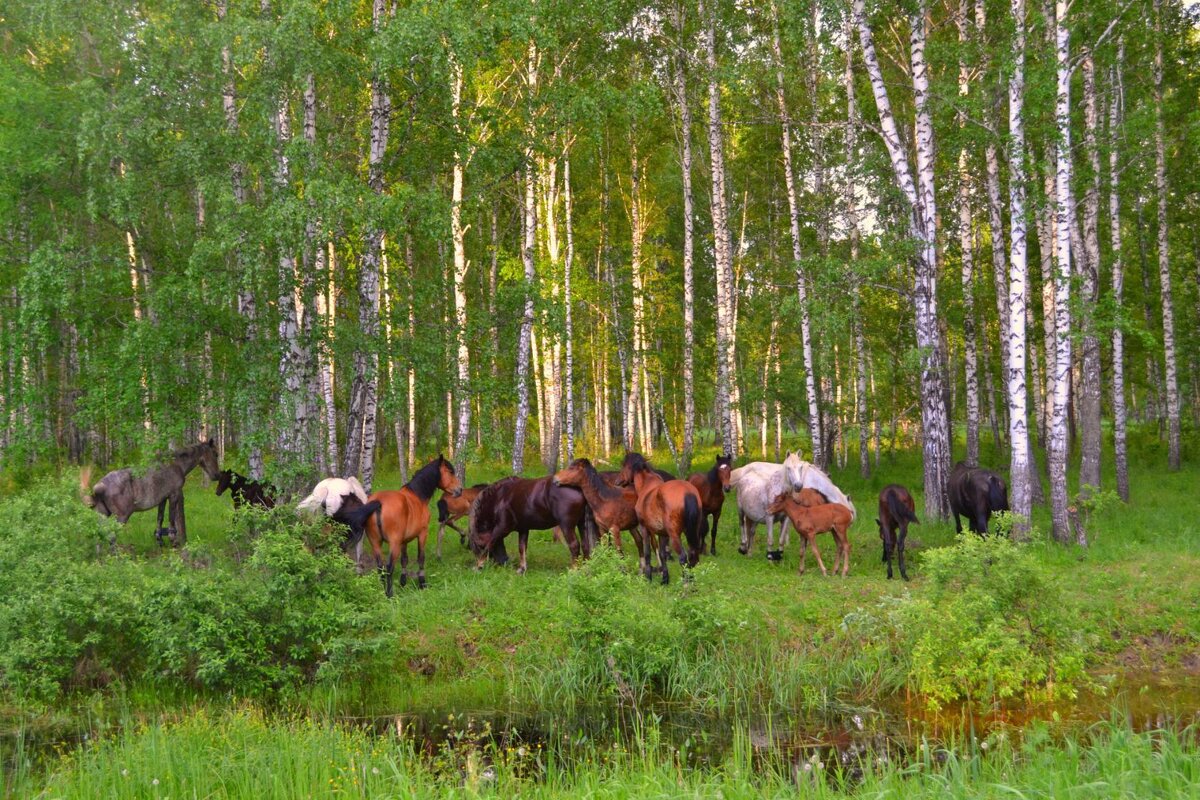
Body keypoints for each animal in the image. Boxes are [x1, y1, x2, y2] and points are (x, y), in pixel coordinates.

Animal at [362, 455, 460, 594]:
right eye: (450, 472)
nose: (460, 490)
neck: (417, 495)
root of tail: (379, 502)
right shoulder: (423, 533)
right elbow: (421, 557)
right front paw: (422, 583)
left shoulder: (404, 541)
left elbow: (404, 560)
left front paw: (403, 583)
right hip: (394, 543)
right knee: (389, 567)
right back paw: (389, 594)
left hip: (375, 543)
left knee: (380, 568)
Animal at [619, 453, 700, 585]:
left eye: (624, 465)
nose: (619, 481)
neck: (646, 486)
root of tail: (687, 493)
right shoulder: (663, 534)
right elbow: (662, 555)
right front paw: (665, 579)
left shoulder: (644, 529)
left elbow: (647, 553)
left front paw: (648, 577)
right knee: (693, 554)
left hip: (675, 536)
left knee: (683, 557)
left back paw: (686, 584)